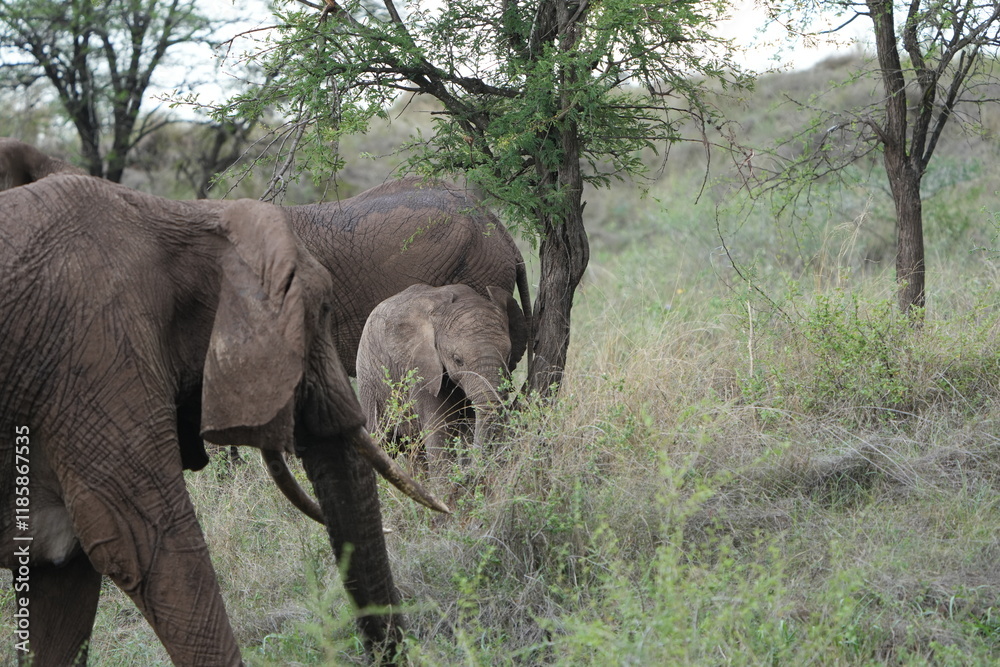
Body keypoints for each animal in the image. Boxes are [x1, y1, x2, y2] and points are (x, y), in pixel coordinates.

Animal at [356, 283, 528, 480]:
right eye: (458, 360)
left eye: (508, 356)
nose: (470, 471)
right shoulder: (421, 370)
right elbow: (438, 429)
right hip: (370, 383)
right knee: (382, 441)